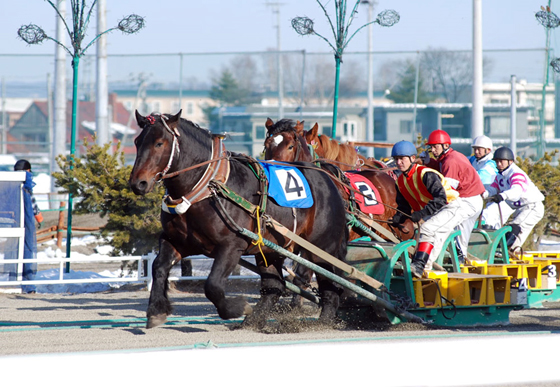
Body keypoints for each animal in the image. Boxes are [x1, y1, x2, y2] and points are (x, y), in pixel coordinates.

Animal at [130, 110, 350, 328]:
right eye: (137, 141)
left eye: (159, 143)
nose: (138, 183)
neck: (207, 187)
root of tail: (329, 179)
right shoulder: (176, 241)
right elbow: (158, 268)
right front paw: (156, 310)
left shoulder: (231, 246)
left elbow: (213, 285)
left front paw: (235, 308)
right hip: (271, 249)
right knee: (274, 285)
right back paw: (254, 320)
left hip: (323, 247)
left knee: (330, 283)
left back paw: (325, 320)